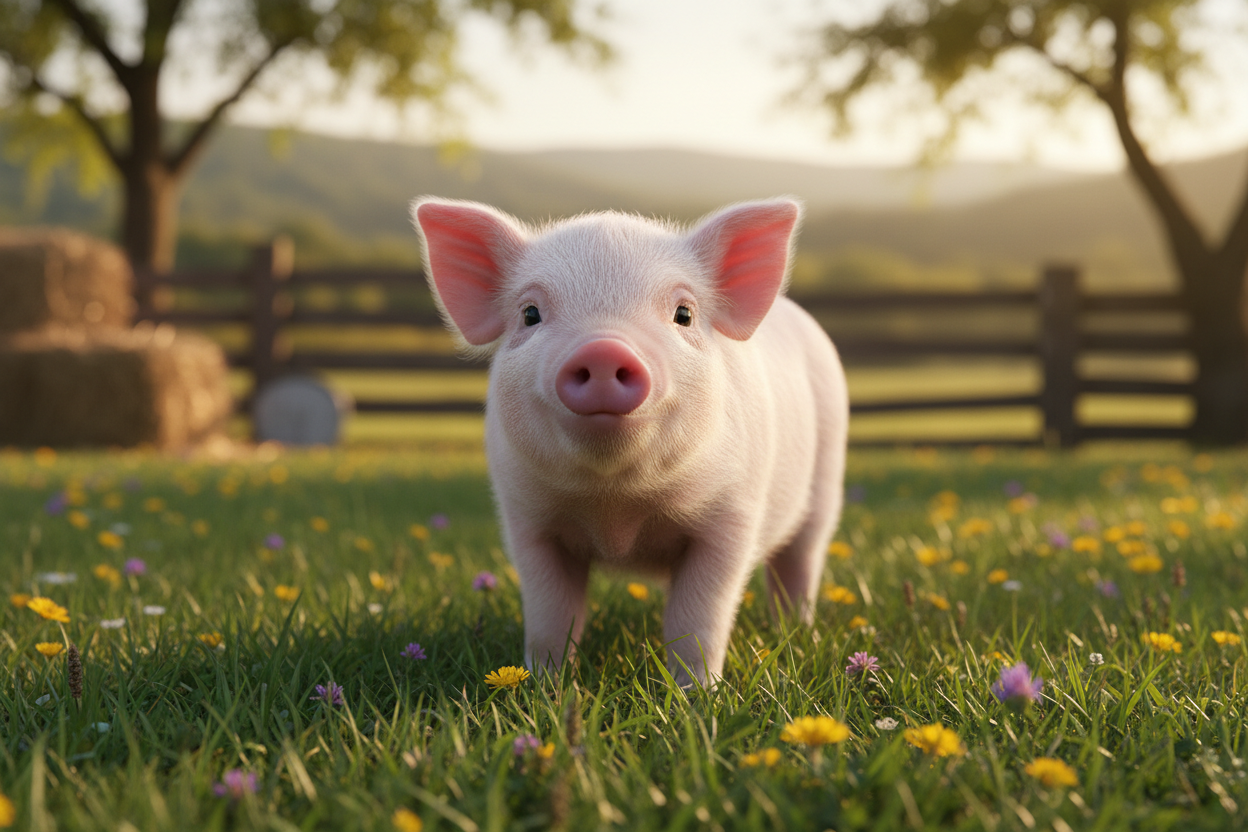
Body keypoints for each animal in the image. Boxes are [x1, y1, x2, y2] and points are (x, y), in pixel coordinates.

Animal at [412, 197, 848, 686]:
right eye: (530, 313)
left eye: (684, 314)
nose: (603, 348)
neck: (616, 510)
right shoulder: (527, 519)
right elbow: (550, 615)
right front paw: (546, 686)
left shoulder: (731, 518)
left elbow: (698, 617)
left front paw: (696, 692)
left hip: (826, 483)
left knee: (800, 562)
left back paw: (798, 634)